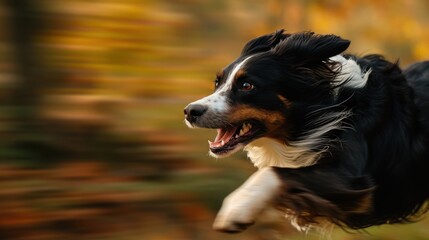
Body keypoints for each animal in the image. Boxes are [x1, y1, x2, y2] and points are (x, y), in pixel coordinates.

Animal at [182, 29, 426, 232]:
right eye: (217, 83)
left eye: (246, 85)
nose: (190, 111)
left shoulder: (353, 178)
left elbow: (276, 172)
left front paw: (237, 208)